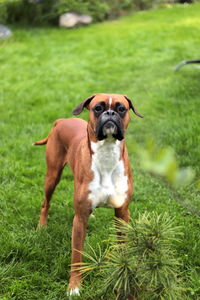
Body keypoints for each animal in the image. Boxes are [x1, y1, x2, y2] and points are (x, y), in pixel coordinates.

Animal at [34, 93, 144, 296]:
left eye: (121, 108)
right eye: (98, 108)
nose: (110, 113)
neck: (107, 153)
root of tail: (62, 120)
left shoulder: (122, 213)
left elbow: (123, 248)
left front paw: (124, 276)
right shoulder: (79, 220)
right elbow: (76, 256)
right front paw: (74, 287)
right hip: (52, 175)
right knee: (46, 203)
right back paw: (42, 226)